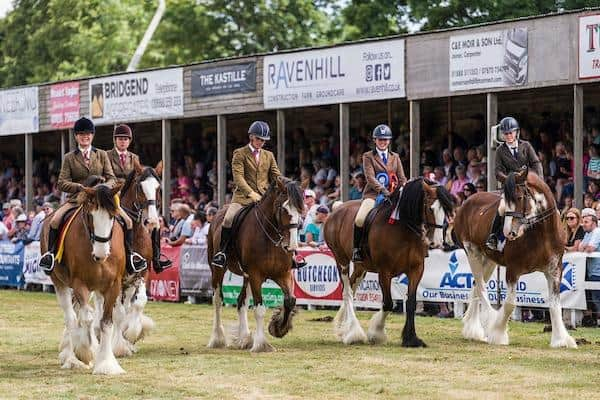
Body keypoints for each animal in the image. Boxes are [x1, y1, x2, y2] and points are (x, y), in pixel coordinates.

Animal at [40, 184, 129, 376]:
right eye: (90, 215)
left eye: (112, 216)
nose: (101, 254)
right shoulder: (79, 284)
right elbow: (86, 319)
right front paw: (85, 352)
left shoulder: (113, 286)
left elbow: (106, 322)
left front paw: (107, 363)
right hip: (60, 283)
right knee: (71, 317)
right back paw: (71, 358)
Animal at [103, 159, 164, 356]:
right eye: (140, 186)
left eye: (158, 187)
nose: (152, 222)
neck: (134, 234)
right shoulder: (116, 279)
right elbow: (117, 312)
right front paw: (119, 346)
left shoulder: (142, 273)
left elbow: (139, 303)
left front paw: (131, 334)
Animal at [209, 177, 304, 352]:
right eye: (282, 208)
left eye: (300, 210)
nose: (292, 246)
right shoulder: (256, 275)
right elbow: (259, 308)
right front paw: (261, 344)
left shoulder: (284, 274)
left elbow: (290, 300)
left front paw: (278, 328)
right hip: (217, 270)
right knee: (218, 300)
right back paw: (217, 339)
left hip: (246, 277)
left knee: (241, 302)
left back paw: (245, 338)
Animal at [324, 178, 454, 346]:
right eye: (430, 208)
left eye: (445, 211)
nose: (436, 243)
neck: (404, 228)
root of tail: (336, 210)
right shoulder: (385, 271)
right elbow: (388, 303)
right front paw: (376, 333)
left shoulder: (416, 269)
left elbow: (411, 302)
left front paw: (411, 339)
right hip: (341, 261)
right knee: (347, 292)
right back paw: (353, 333)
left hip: (361, 267)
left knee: (351, 289)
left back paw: (344, 329)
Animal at [454, 166, 576, 346]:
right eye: (505, 200)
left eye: (519, 197)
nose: (508, 233)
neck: (542, 234)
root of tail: (467, 202)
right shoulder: (513, 270)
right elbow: (510, 303)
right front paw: (498, 334)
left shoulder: (555, 270)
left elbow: (555, 305)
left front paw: (561, 340)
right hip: (472, 252)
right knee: (481, 287)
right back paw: (487, 323)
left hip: (488, 260)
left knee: (477, 285)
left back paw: (472, 330)